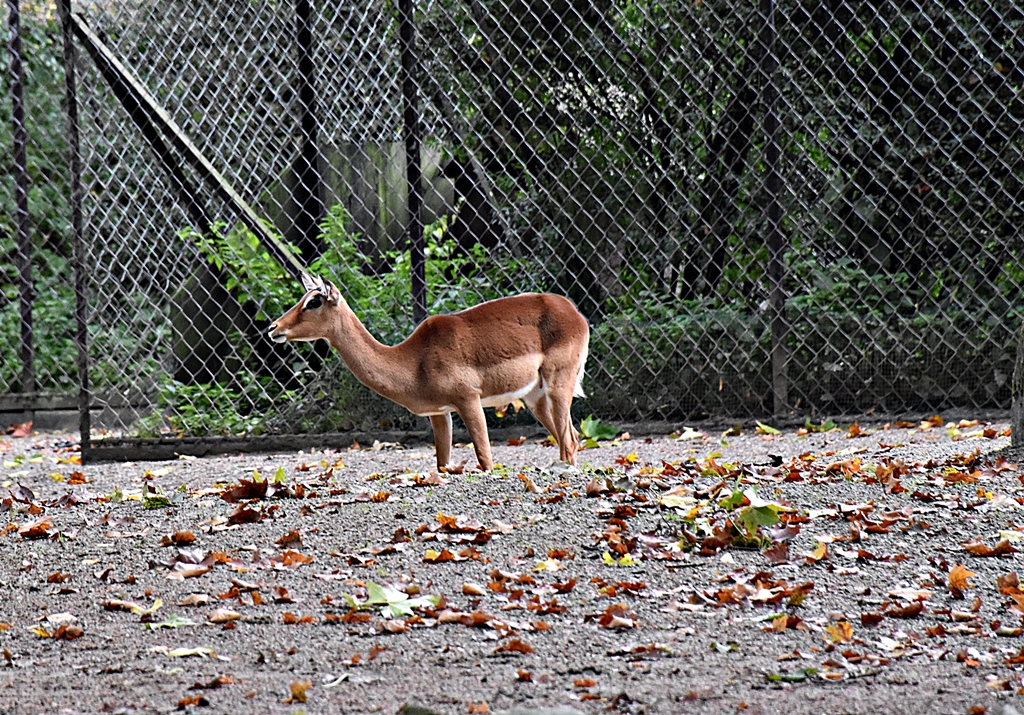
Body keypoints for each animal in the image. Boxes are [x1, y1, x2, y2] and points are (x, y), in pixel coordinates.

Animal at [268, 273, 590, 471]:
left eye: (314, 301)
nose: (274, 327)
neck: (414, 361)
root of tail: (573, 311)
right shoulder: (439, 412)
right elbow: (442, 464)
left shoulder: (468, 400)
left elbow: (485, 460)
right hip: (535, 397)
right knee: (572, 437)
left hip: (558, 385)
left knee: (569, 441)